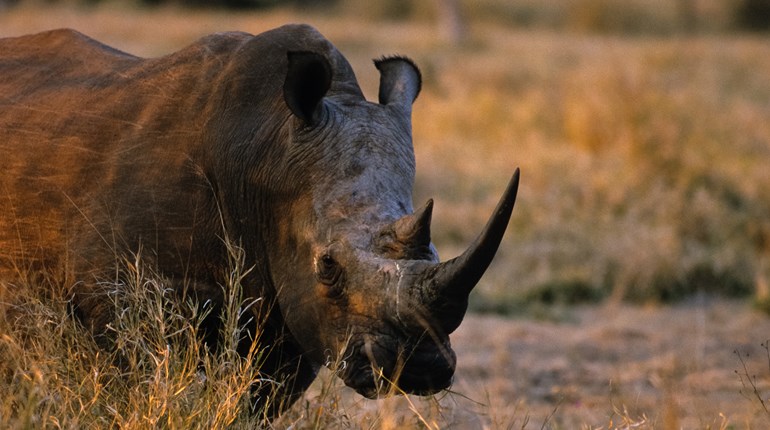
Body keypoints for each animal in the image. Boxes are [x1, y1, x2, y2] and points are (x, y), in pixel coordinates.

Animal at [0, 24, 519, 416]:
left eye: (434, 251)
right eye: (327, 266)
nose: (416, 369)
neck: (268, 150)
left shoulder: (293, 321)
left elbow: (253, 404)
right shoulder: (114, 298)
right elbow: (132, 386)